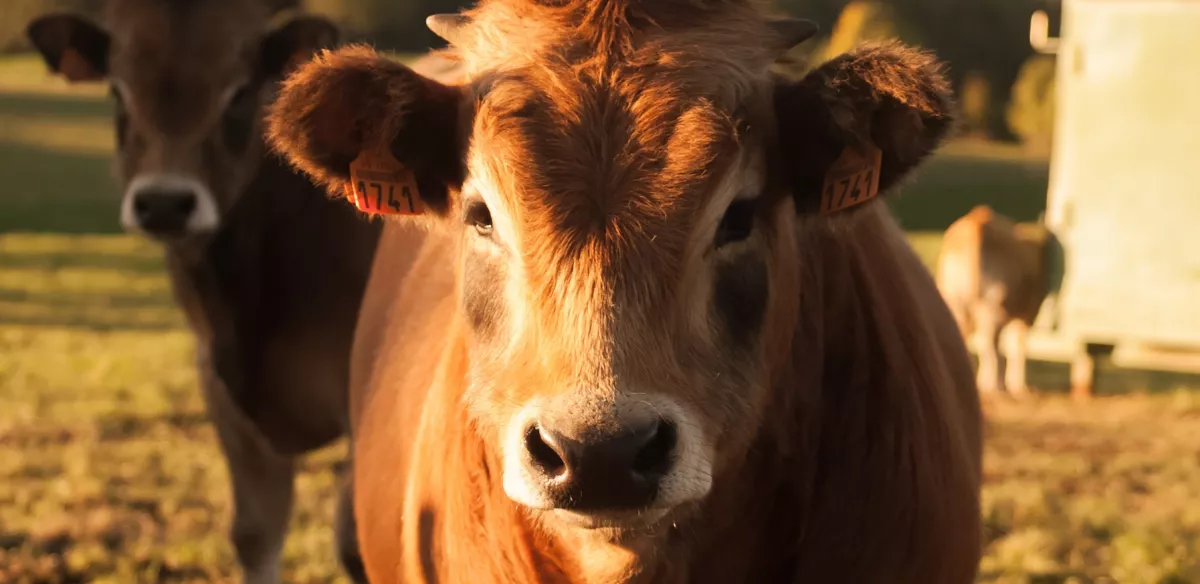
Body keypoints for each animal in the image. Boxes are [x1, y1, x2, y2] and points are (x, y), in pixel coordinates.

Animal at [936, 203, 1051, 400]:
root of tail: (974, 227)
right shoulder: (1025, 315)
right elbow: (1016, 347)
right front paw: (1018, 388)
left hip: (955, 303)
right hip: (991, 307)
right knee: (989, 345)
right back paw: (993, 388)